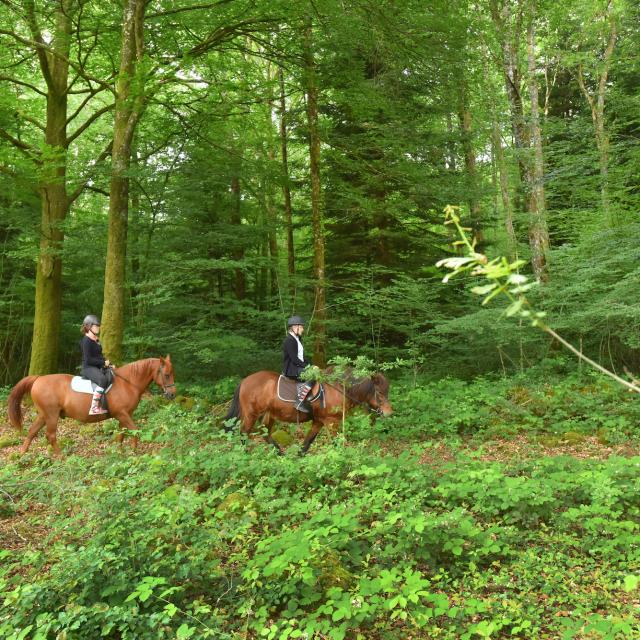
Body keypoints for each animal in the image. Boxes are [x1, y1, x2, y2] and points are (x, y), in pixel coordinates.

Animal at [8, 356, 178, 456]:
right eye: (167, 374)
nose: (172, 395)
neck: (128, 383)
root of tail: (38, 379)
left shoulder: (125, 415)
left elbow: (122, 434)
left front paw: (120, 452)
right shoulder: (122, 414)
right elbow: (134, 430)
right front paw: (134, 451)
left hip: (43, 415)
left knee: (32, 432)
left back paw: (21, 455)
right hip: (51, 415)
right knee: (50, 436)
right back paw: (61, 458)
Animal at [222, 368, 392, 452]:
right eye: (380, 393)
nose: (389, 413)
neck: (339, 388)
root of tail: (245, 380)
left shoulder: (319, 421)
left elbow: (307, 442)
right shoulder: (332, 422)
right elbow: (336, 443)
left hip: (269, 415)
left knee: (265, 434)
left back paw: (280, 453)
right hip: (251, 414)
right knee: (244, 433)